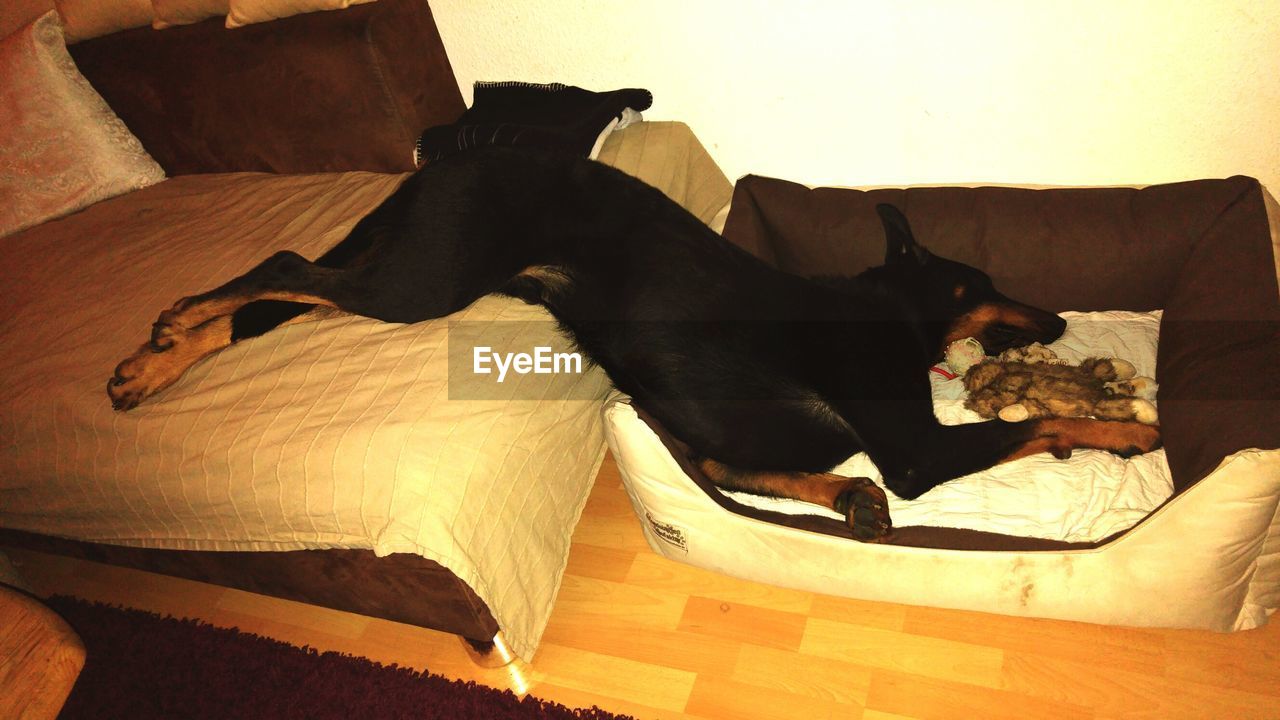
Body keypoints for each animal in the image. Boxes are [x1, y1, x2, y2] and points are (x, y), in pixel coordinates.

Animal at [110, 146, 1162, 538]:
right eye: (985, 286)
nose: (1060, 322)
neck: (887, 313)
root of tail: (448, 153)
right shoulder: (916, 451)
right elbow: (1023, 429)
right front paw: (1126, 431)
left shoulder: (711, 431)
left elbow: (732, 467)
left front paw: (840, 495)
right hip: (420, 280)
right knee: (282, 263)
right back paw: (164, 330)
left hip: (411, 265)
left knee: (277, 299)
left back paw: (156, 359)